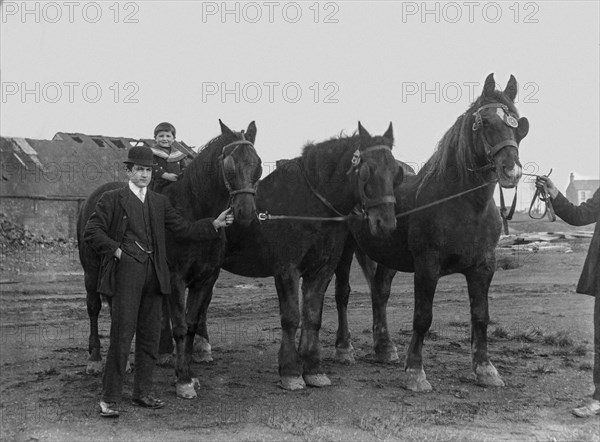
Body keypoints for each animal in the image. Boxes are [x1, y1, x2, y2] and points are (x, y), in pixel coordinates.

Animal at [199, 123, 400, 390]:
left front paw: (313, 367)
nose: (386, 223)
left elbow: (312, 317)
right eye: (367, 170)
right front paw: (291, 370)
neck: (310, 205)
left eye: (396, 171)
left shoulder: (322, 270)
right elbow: (292, 317)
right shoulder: (287, 269)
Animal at [336, 74, 528, 392]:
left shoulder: (484, 267)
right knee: (343, 293)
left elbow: (480, 316)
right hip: (345, 248)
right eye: (485, 122)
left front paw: (485, 369)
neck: (464, 204)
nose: (511, 170)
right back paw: (343, 348)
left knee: (380, 292)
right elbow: (423, 317)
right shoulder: (427, 265)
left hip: (388, 257)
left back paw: (385, 348)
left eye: (518, 124)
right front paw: (415, 372)